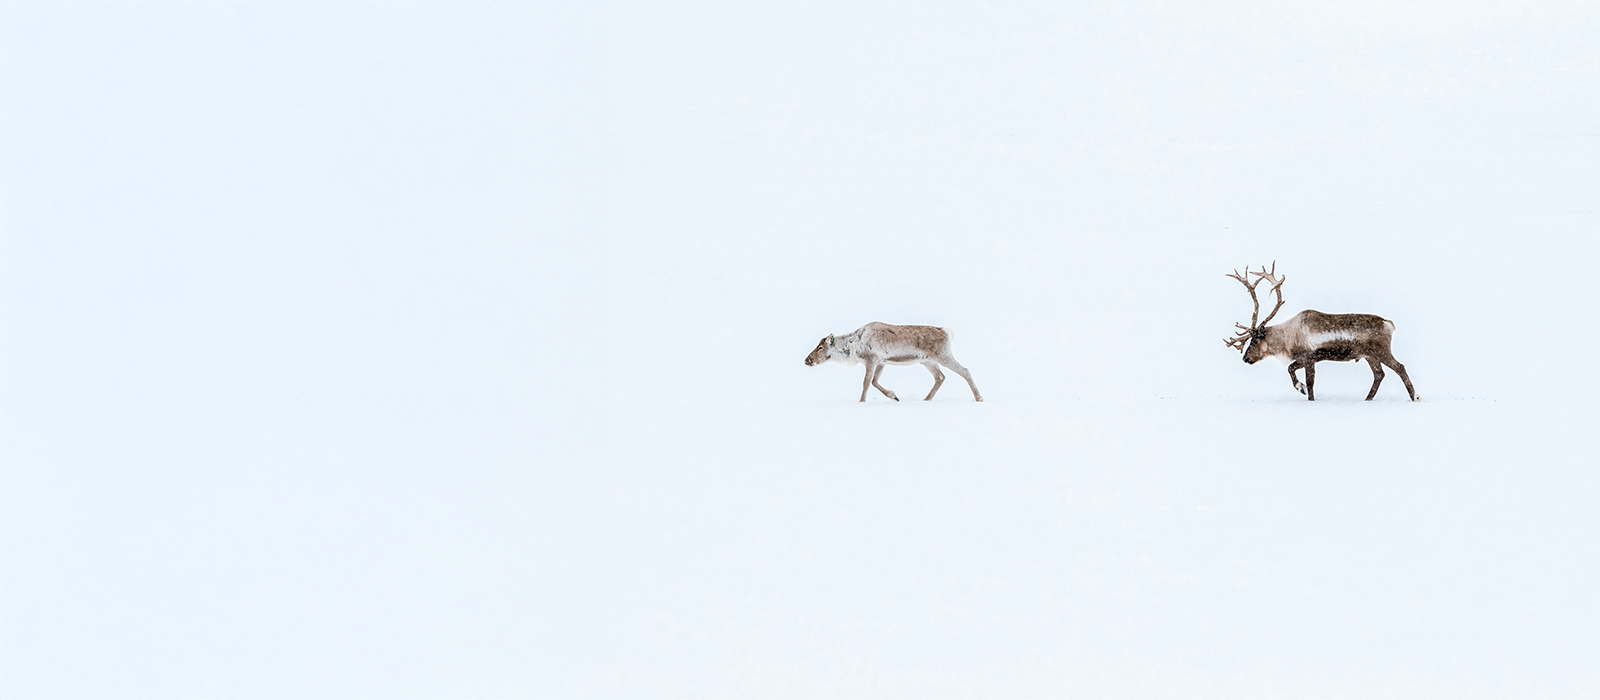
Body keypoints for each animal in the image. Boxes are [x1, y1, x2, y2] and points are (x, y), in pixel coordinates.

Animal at [805, 322, 983, 402]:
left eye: (820, 347)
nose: (807, 360)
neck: (854, 345)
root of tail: (947, 333)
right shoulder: (881, 362)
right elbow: (875, 381)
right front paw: (894, 396)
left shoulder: (872, 359)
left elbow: (866, 382)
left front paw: (861, 402)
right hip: (928, 361)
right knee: (940, 377)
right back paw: (926, 399)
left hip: (943, 355)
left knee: (965, 370)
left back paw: (979, 398)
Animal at [1225, 263, 1419, 402]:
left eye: (1254, 341)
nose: (1245, 358)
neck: (1287, 337)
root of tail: (1389, 324)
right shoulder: (1306, 359)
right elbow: (1291, 369)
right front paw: (1300, 388)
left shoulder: (1309, 357)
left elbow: (1308, 382)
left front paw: (1305, 392)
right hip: (1369, 355)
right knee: (1379, 374)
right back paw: (1367, 399)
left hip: (1381, 350)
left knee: (1399, 367)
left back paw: (1415, 397)